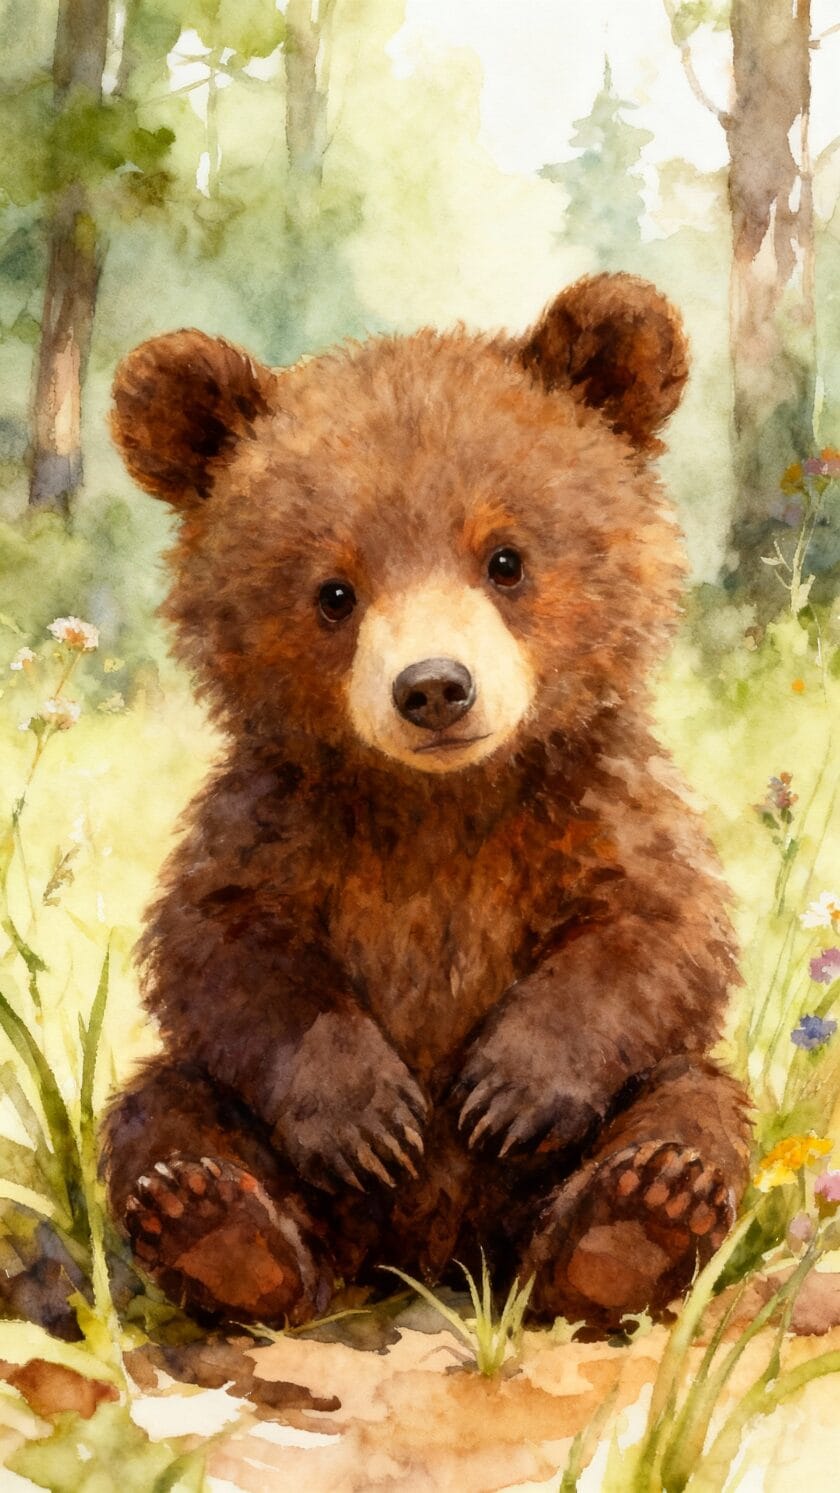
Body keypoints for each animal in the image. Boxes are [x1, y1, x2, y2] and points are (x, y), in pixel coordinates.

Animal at [103, 273, 752, 1336]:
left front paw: (507, 1091)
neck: (442, 804)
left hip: (597, 1145)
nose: (436, 687)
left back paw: (633, 1220)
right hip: (250, 1145)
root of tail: (433, 1254)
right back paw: (217, 1227)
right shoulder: (279, 821)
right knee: (163, 1106)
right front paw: (372, 1120)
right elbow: (224, 950)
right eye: (334, 590)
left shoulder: (591, 805)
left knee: (692, 1102)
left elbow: (656, 929)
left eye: (506, 558)